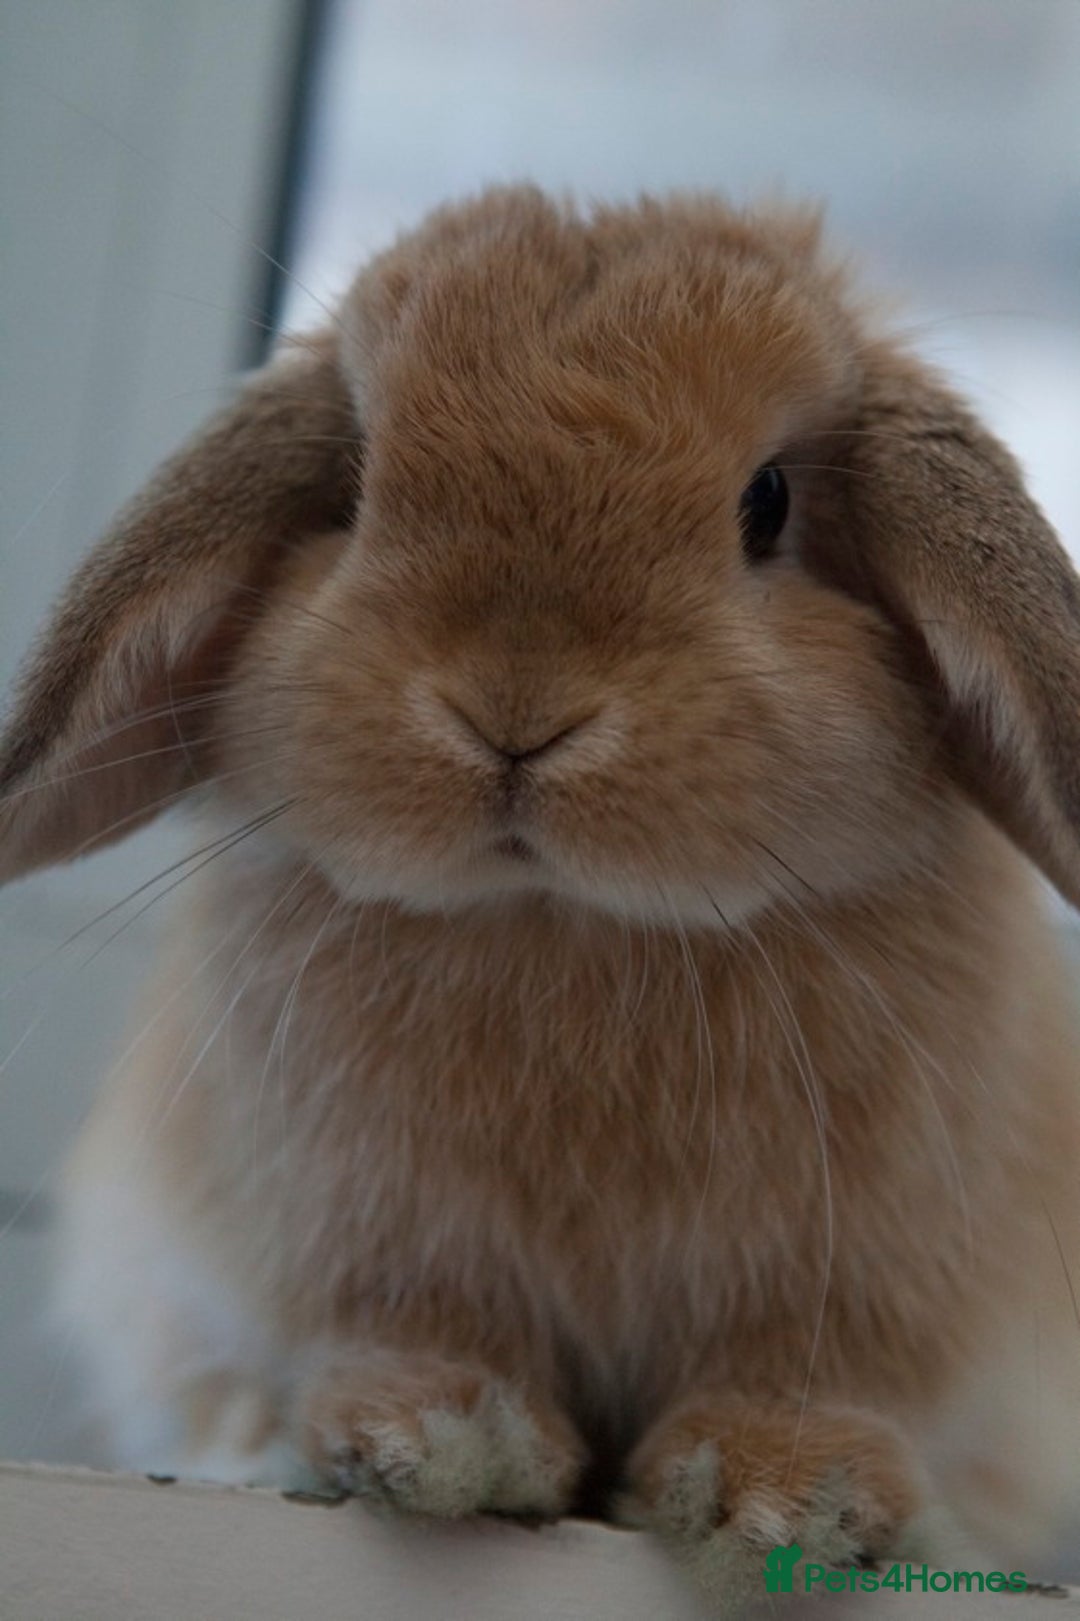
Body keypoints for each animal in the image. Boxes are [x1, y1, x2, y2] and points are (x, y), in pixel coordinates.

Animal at [2, 186, 1079, 1602]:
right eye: (354, 487)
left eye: (768, 502)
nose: (515, 714)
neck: (570, 925)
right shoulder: (375, 1254)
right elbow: (416, 1339)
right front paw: (449, 1437)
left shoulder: (856, 1299)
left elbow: (814, 1388)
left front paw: (785, 1497)